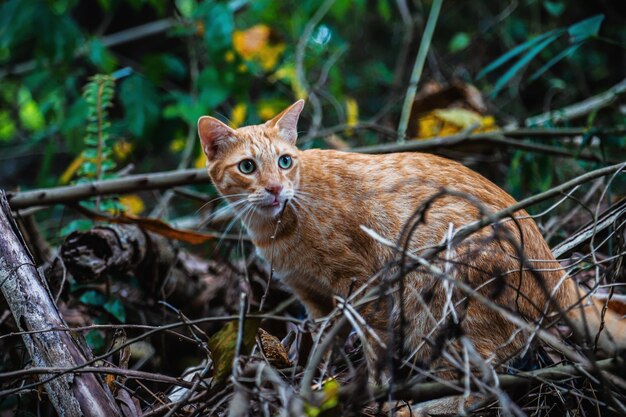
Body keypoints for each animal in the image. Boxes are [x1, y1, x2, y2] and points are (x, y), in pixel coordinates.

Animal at [199, 100, 624, 406]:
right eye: (248, 167)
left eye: (285, 161)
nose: (274, 189)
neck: (277, 228)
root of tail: (552, 265)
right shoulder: (316, 301)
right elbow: (324, 346)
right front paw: (318, 381)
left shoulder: (362, 286)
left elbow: (374, 347)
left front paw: (372, 391)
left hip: (436, 299)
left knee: (483, 381)